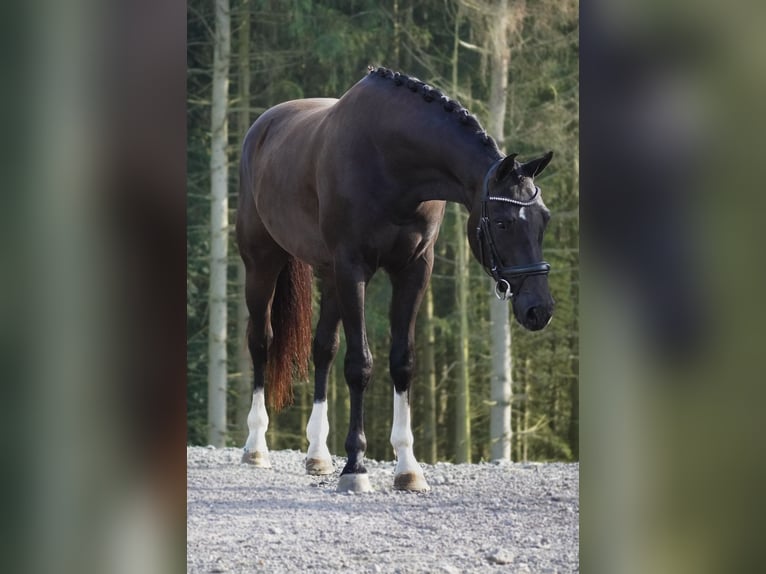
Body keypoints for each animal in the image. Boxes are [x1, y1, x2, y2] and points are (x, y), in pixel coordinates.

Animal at [237, 65, 556, 492]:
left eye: (543, 219)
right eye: (503, 222)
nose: (540, 309)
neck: (390, 160)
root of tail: (263, 126)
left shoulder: (414, 269)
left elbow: (402, 362)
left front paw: (408, 468)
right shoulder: (354, 267)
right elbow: (359, 364)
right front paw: (355, 467)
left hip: (329, 275)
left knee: (323, 348)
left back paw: (318, 455)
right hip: (263, 263)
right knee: (262, 341)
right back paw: (256, 448)